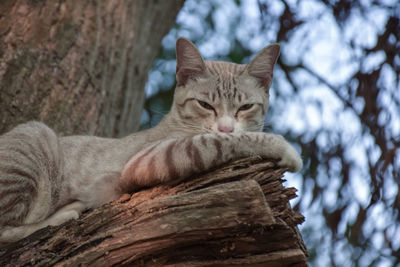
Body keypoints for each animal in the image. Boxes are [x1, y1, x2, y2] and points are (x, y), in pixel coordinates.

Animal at [0, 37, 302, 245]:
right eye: (205, 105)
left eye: (245, 107)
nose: (226, 127)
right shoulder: (148, 159)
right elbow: (215, 141)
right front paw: (283, 147)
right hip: (37, 139)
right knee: (6, 231)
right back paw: (64, 213)